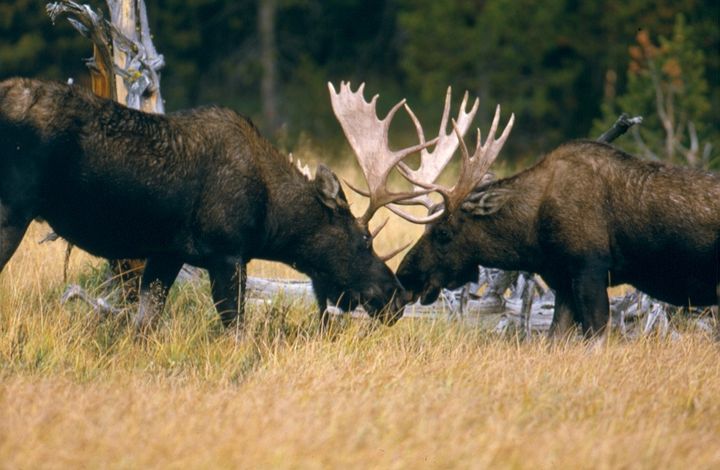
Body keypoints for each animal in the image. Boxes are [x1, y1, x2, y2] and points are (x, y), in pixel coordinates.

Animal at [0, 77, 416, 328]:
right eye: (365, 240)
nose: (396, 295)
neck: (271, 218)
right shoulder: (227, 253)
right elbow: (236, 329)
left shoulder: (167, 253)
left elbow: (143, 326)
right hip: (12, 211)